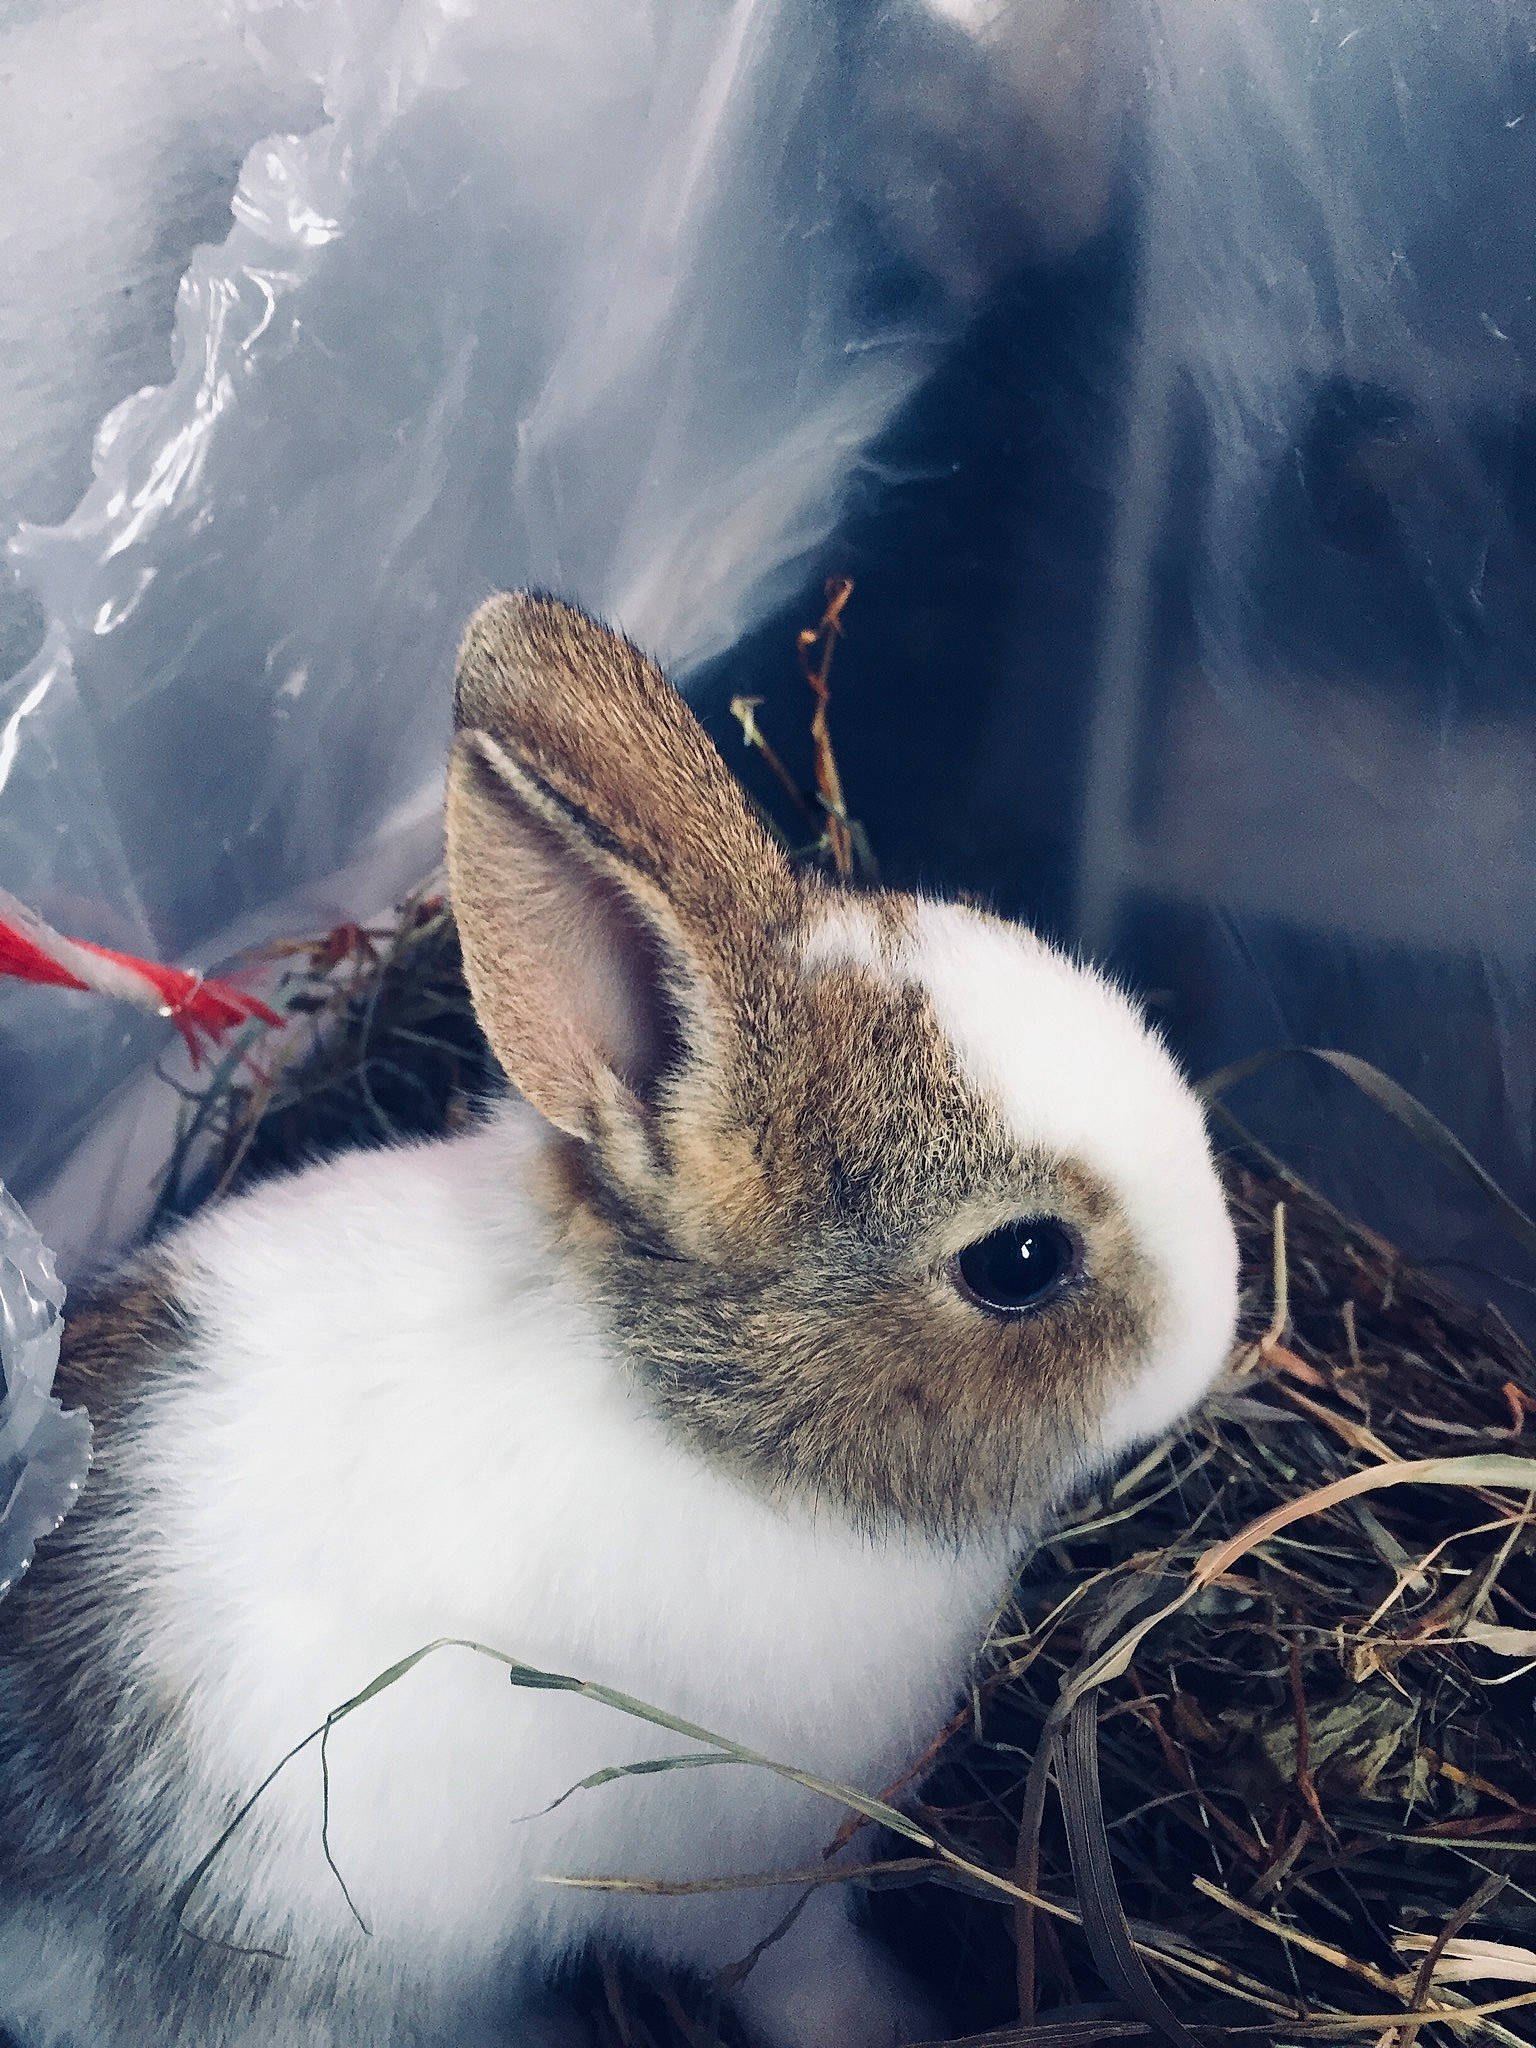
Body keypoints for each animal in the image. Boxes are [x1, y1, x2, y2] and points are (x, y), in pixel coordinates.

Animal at [0, 592, 1240, 2048]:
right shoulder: (745, 1872)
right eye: (1022, 1259)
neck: (701, 1409)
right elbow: (805, 1975)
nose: (1226, 1315)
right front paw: (910, 2019)